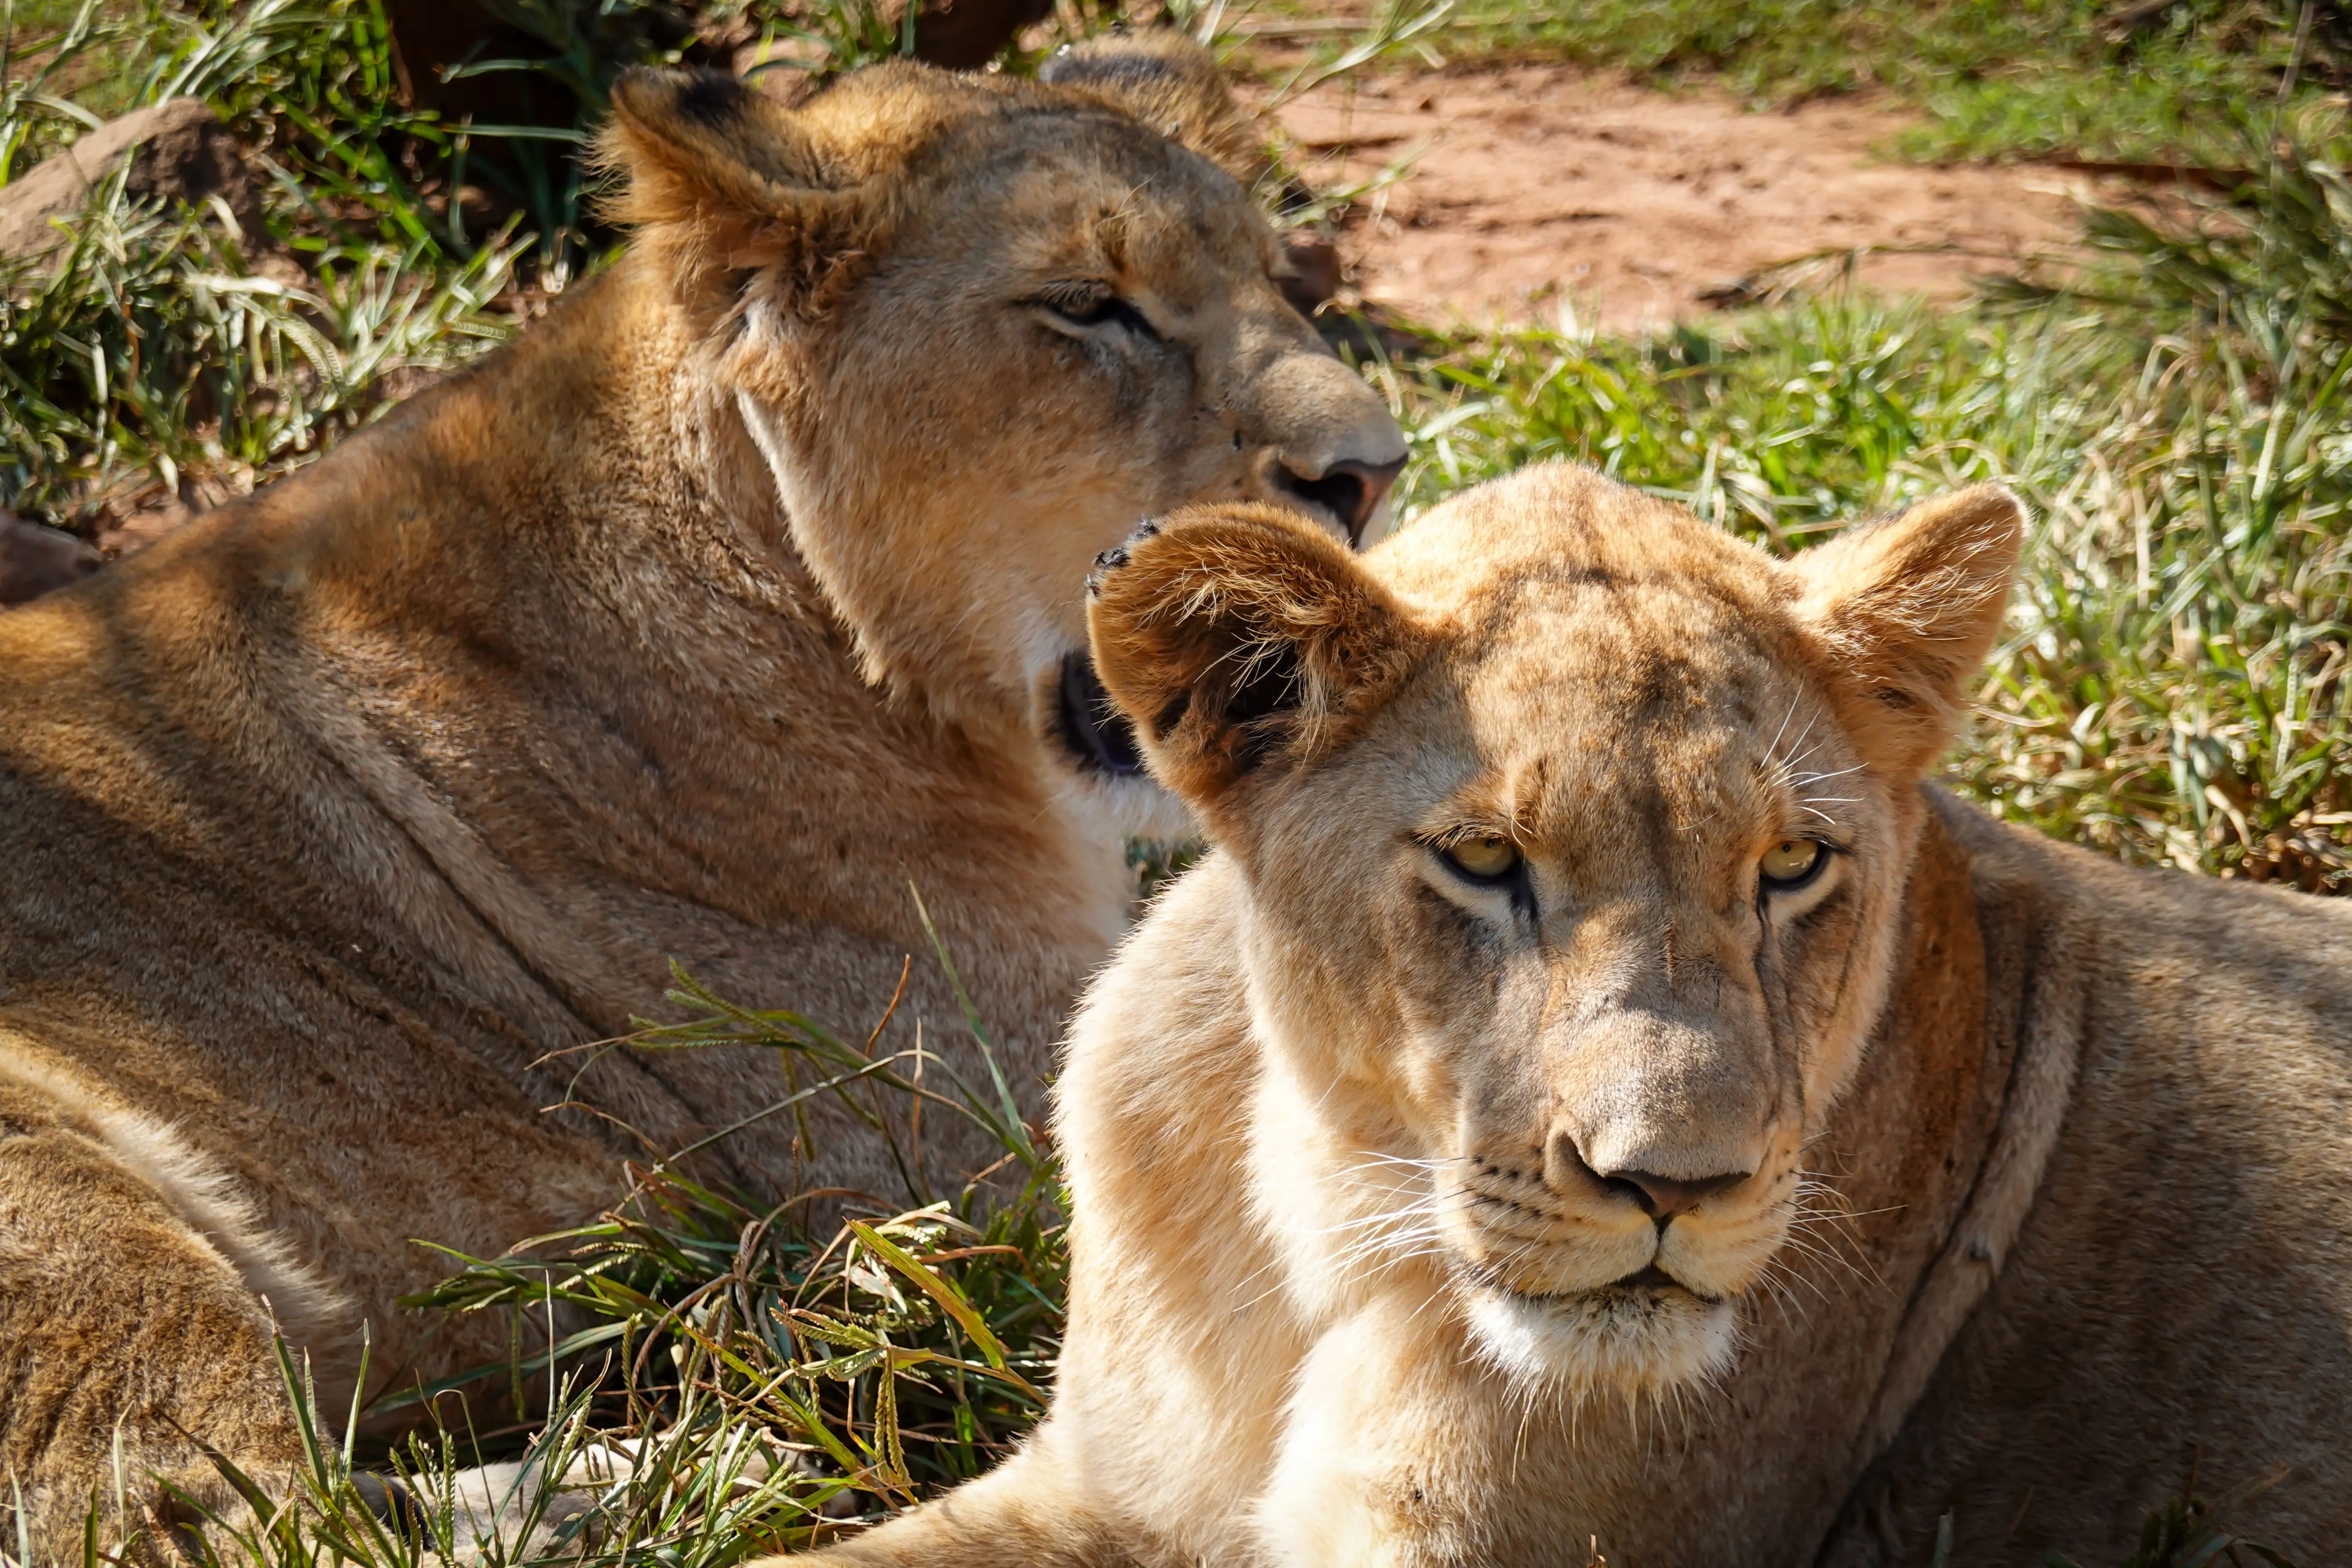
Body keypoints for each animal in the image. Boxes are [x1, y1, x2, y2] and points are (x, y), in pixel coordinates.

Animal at [0, 34, 1405, 1553]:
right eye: (1089, 308)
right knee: (209, 1510)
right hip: (63, 1188)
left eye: (1276, 277)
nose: (1373, 471)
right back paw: (677, 1463)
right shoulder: (958, 1121)